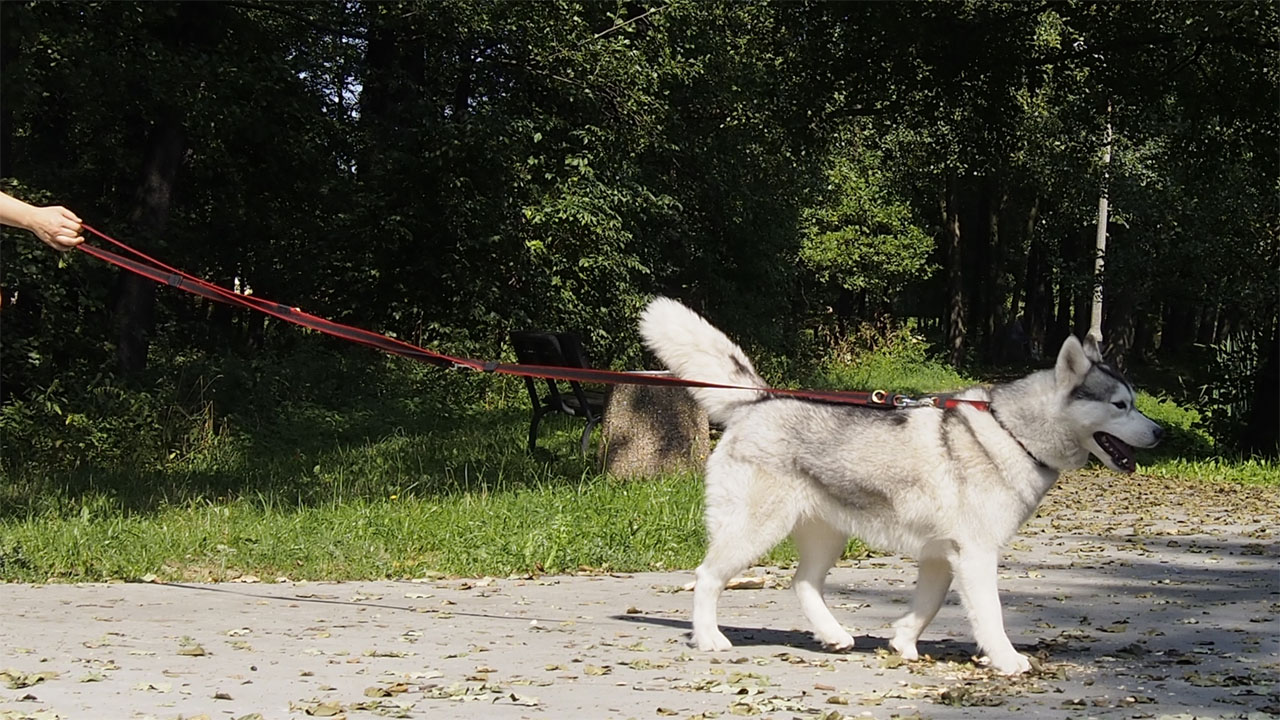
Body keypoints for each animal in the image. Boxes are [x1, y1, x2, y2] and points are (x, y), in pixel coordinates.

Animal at [639, 297, 1163, 674]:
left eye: (1135, 402)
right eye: (1119, 405)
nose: (1159, 432)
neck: (1014, 432)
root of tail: (760, 400)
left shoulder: (942, 557)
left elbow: (927, 607)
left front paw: (903, 640)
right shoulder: (975, 556)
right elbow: (990, 614)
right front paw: (1006, 659)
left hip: (827, 535)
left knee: (803, 582)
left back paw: (833, 634)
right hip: (754, 530)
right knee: (708, 577)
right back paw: (709, 638)